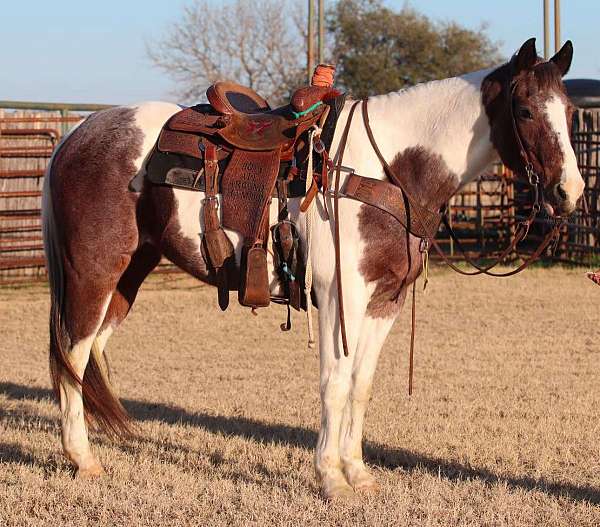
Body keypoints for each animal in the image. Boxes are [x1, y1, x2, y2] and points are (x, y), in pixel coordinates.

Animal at [43, 39, 584, 502]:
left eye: (571, 112)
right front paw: (331, 478)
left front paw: (358, 473)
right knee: (73, 352)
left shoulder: (384, 302)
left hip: (127, 278)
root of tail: (76, 137)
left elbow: (361, 386)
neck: (387, 171)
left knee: (89, 355)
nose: (570, 192)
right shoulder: (340, 297)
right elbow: (335, 383)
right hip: (93, 273)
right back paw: (83, 460)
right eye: (526, 110)